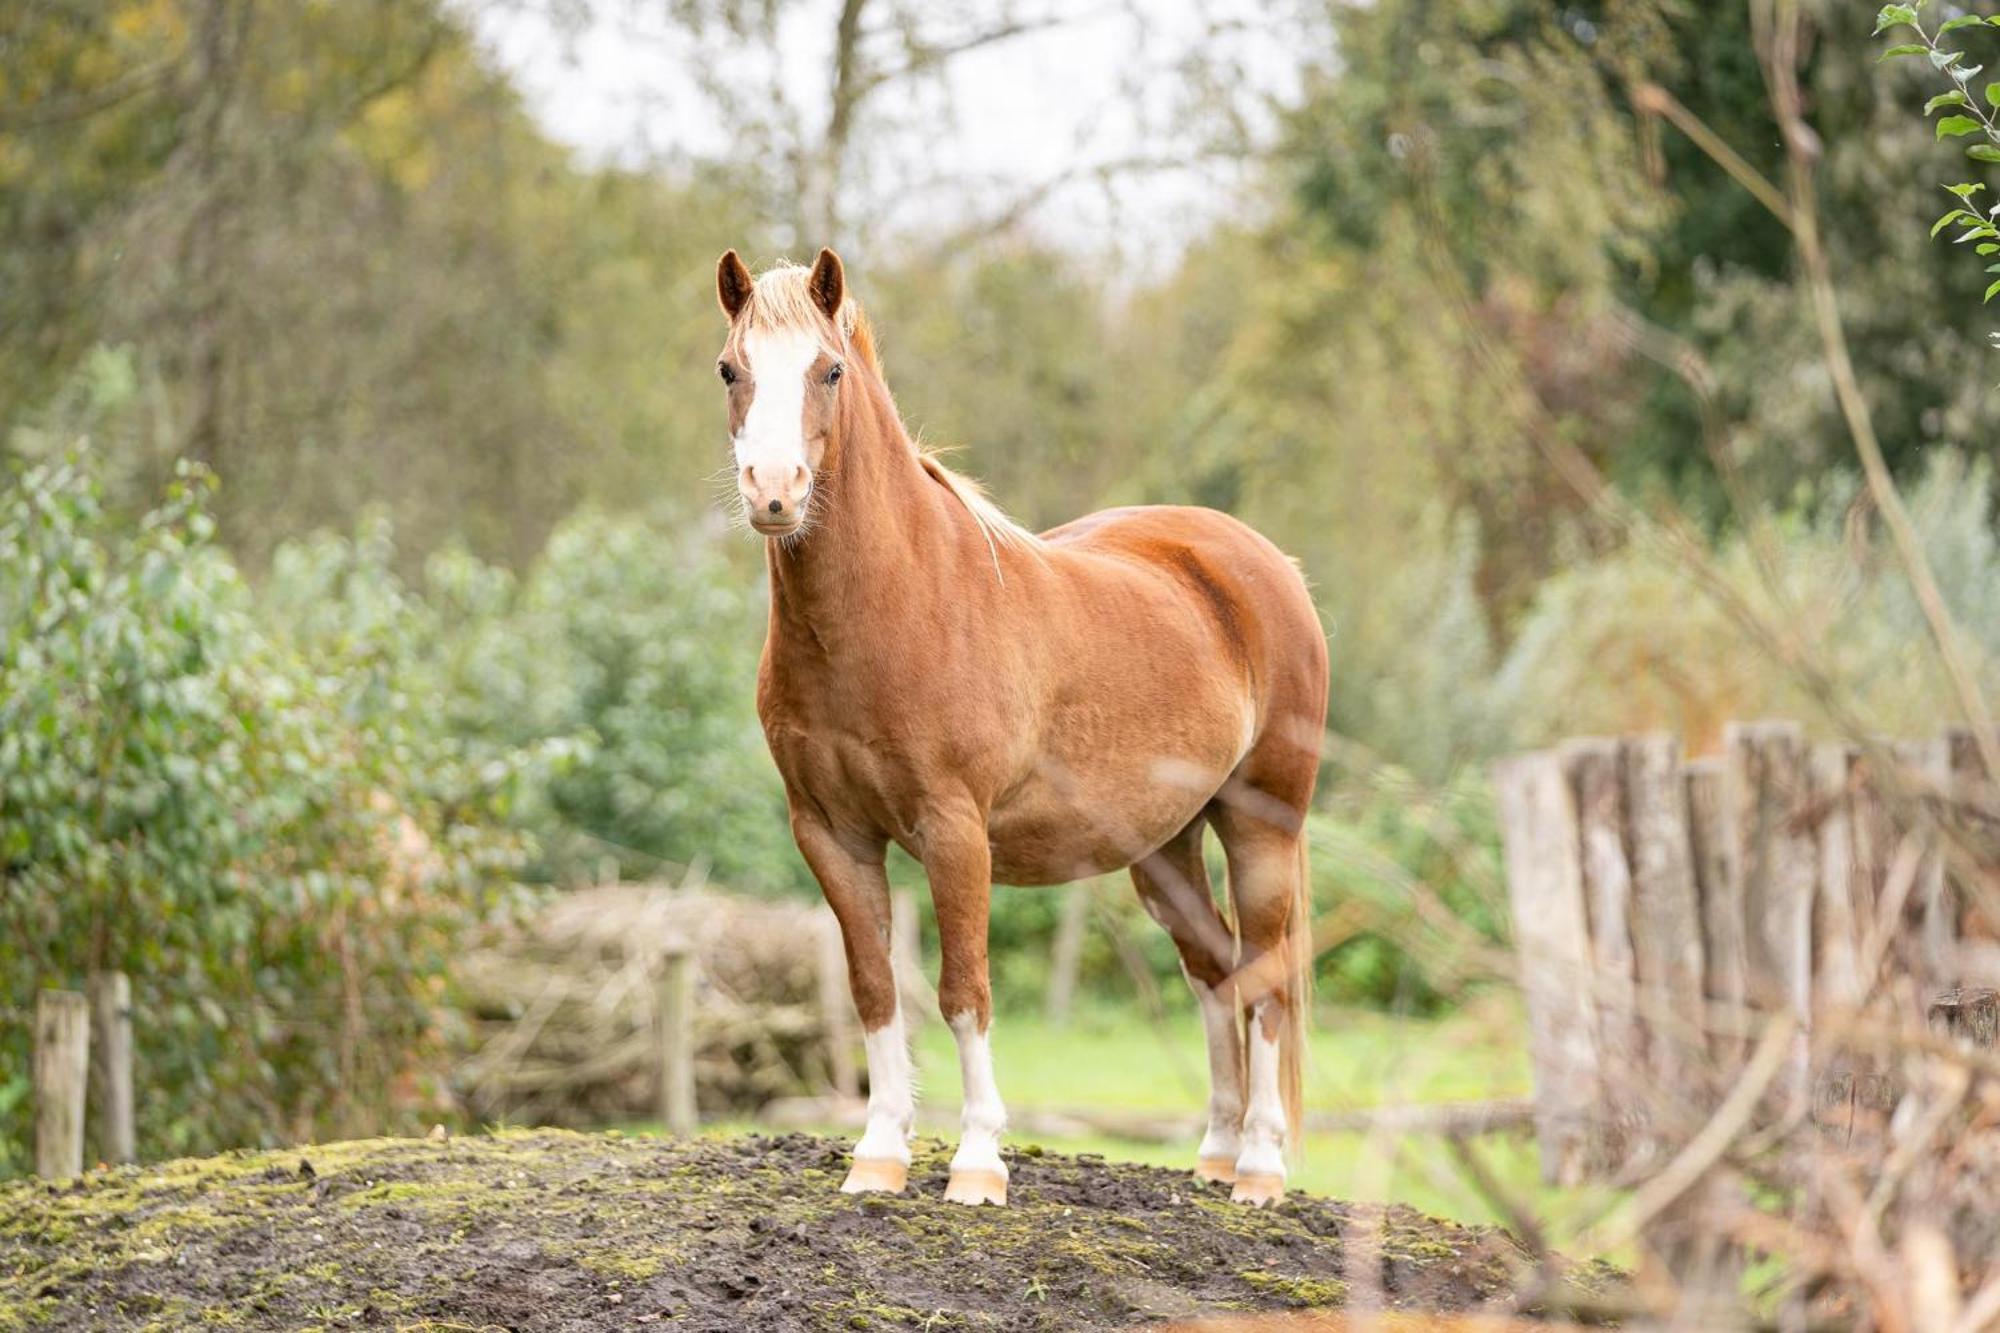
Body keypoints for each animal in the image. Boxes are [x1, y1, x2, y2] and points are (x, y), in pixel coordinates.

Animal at [712, 249, 1320, 1200]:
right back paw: (1216, 1155)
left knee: (1265, 978)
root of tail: (1267, 564)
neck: (896, 605)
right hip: (1166, 848)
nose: (774, 494)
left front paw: (976, 1164)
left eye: (830, 370)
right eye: (730, 369)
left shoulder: (957, 830)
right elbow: (875, 989)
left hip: (1264, 824)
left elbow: (964, 991)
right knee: (1214, 969)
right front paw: (878, 1155)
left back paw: (1258, 1166)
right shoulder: (831, 834)